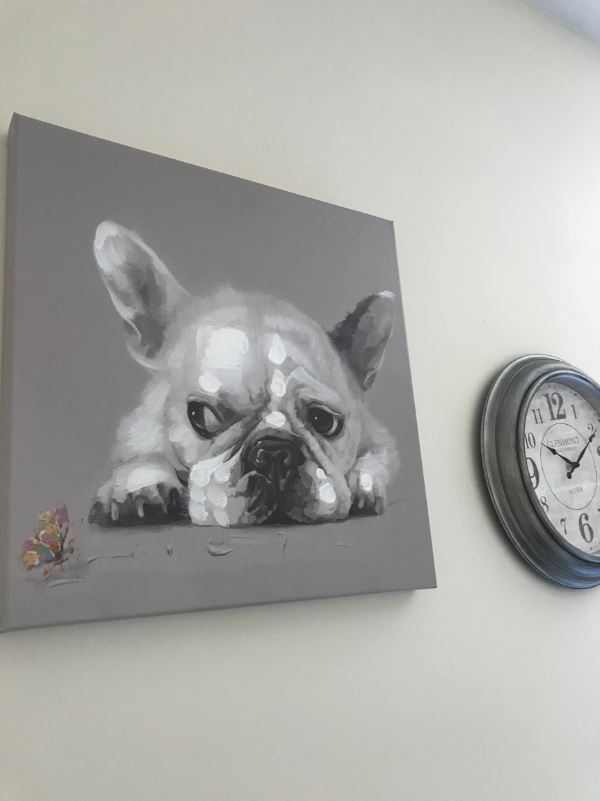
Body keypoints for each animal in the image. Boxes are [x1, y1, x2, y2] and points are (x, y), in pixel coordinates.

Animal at [89, 221, 399, 528]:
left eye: (324, 421)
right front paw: (139, 484)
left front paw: (363, 483)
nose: (275, 452)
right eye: (202, 416)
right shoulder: (135, 431)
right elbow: (142, 453)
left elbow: (378, 456)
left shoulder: (379, 436)